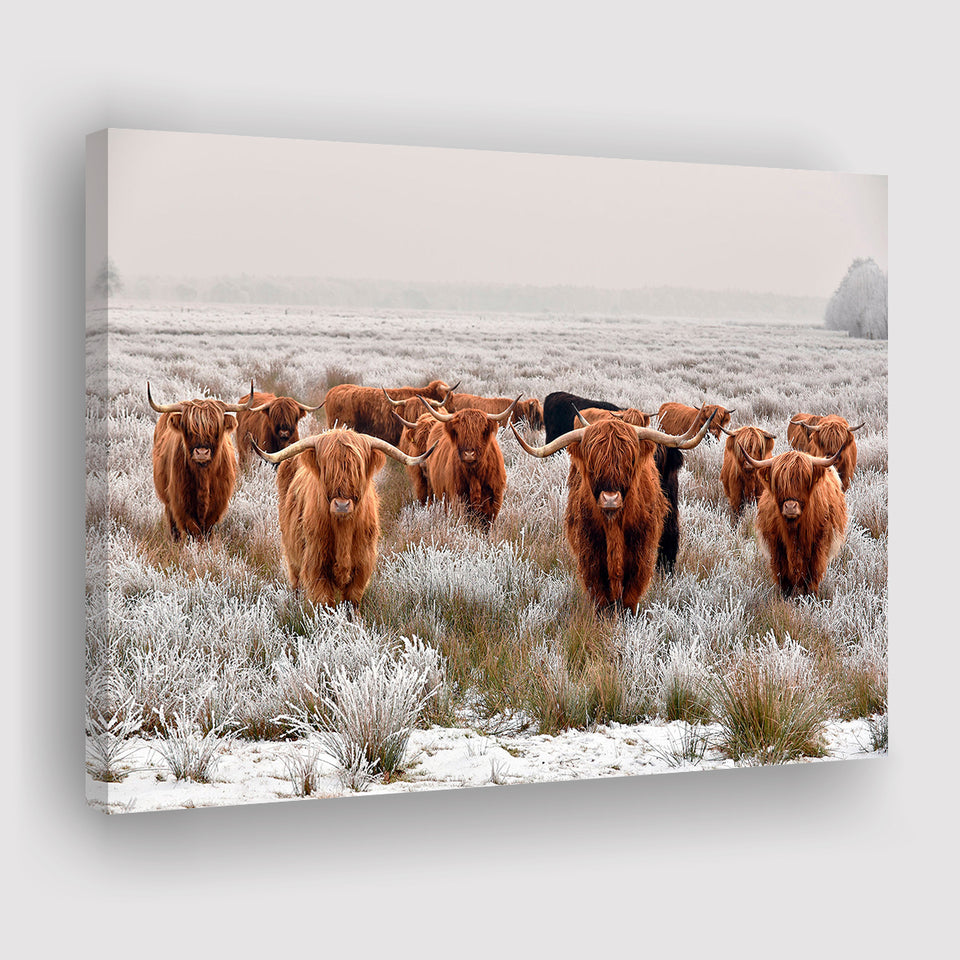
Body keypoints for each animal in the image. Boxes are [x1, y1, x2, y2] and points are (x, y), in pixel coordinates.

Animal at [147, 381, 254, 540]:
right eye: (189, 429)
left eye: (216, 429)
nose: (202, 452)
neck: (203, 475)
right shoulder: (180, 503)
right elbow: (193, 531)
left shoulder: (217, 505)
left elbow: (206, 531)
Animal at [252, 428, 437, 607]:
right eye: (326, 468)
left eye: (357, 469)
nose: (342, 505)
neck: (343, 531)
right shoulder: (316, 564)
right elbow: (324, 602)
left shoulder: (362, 564)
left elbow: (352, 600)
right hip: (292, 553)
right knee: (296, 582)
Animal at [414, 394, 520, 527]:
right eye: (459, 431)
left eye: (481, 431)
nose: (469, 454)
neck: (474, 475)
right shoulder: (458, 499)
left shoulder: (493, 501)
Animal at [511, 412, 714, 614]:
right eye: (592, 464)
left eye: (630, 461)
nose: (610, 499)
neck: (613, 525)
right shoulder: (590, 550)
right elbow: (600, 591)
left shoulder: (641, 550)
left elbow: (631, 590)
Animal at [738, 441, 850, 598]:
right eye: (778, 482)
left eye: (805, 480)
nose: (790, 506)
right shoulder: (777, 546)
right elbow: (783, 575)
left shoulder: (819, 546)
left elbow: (812, 574)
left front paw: (810, 596)